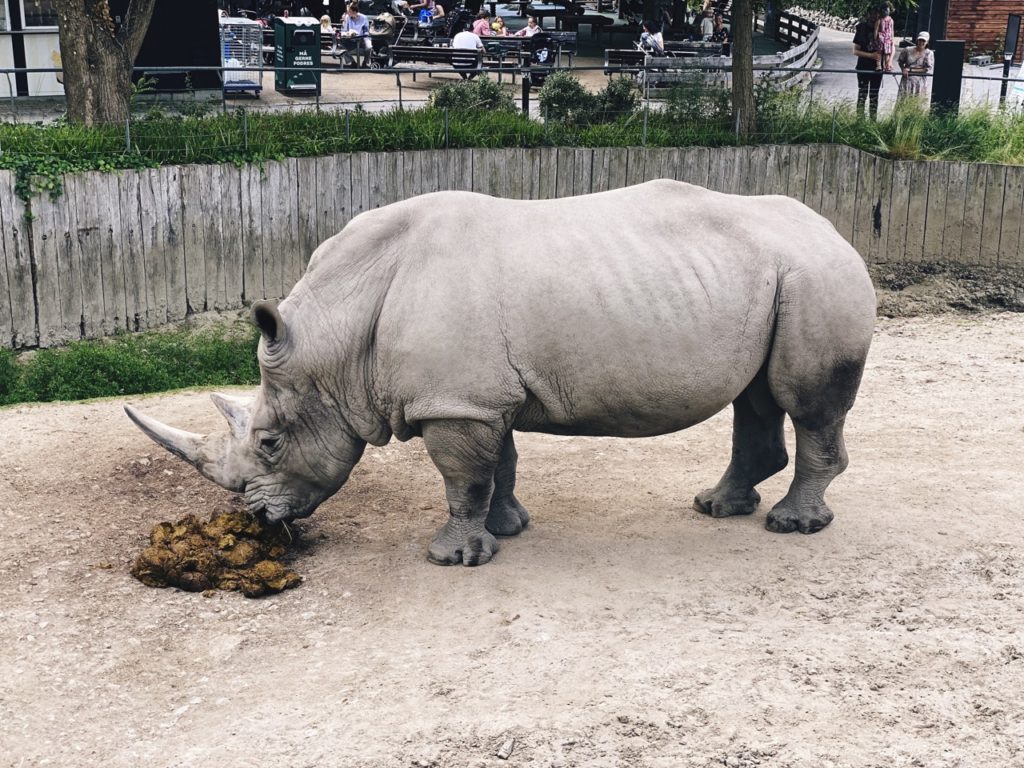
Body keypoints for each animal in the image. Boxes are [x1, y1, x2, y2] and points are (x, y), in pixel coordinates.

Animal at [125, 180, 876, 566]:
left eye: (272, 443)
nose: (255, 517)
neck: (337, 336)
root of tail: (838, 230)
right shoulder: (478, 395)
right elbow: (500, 465)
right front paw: (510, 530)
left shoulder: (455, 400)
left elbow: (462, 478)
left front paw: (452, 558)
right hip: (781, 277)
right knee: (756, 396)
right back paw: (717, 507)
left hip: (816, 275)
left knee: (806, 403)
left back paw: (792, 527)